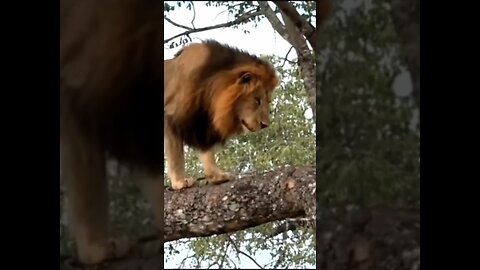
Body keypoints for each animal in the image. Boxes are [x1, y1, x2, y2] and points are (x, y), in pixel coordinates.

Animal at [164, 41, 278, 191]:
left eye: (268, 102)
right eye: (257, 100)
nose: (265, 125)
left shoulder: (201, 123)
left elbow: (205, 151)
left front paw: (215, 176)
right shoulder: (172, 117)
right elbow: (176, 155)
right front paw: (180, 182)